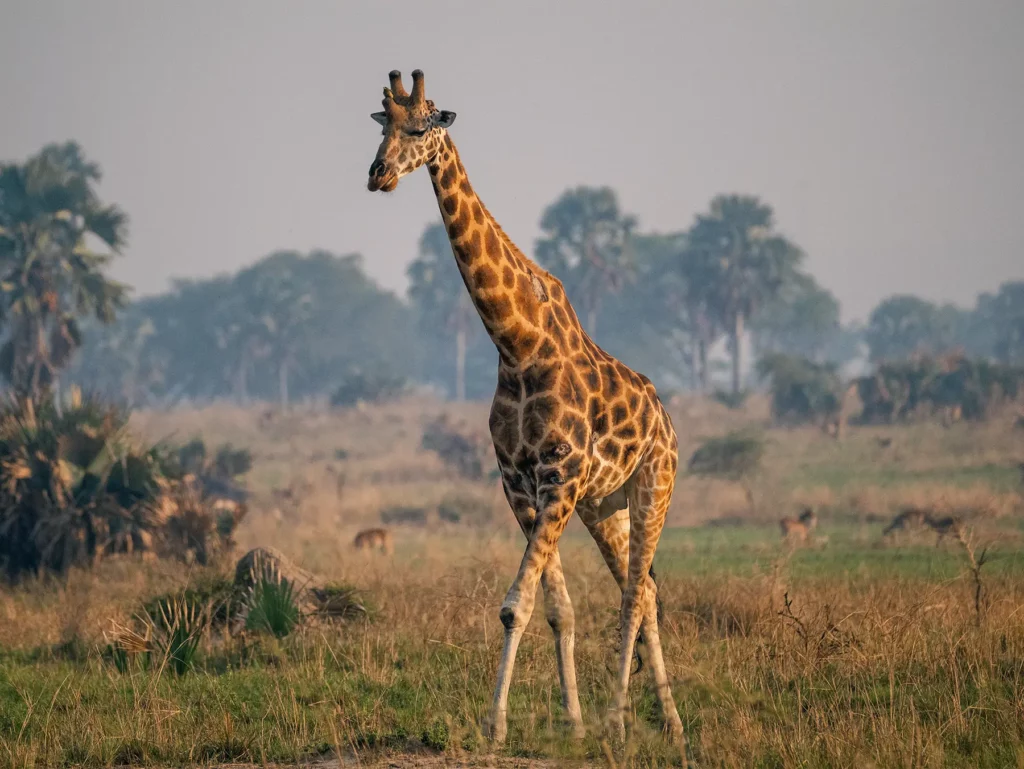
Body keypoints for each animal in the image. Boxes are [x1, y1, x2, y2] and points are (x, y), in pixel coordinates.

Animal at [365, 69, 685, 745]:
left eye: (421, 127)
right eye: (382, 126)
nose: (377, 174)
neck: (516, 344)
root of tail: (667, 421)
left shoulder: (557, 475)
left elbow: (518, 604)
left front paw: (496, 724)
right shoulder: (521, 483)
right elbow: (553, 608)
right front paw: (571, 722)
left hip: (653, 488)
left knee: (634, 593)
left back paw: (623, 718)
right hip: (604, 505)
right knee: (642, 589)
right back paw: (665, 722)